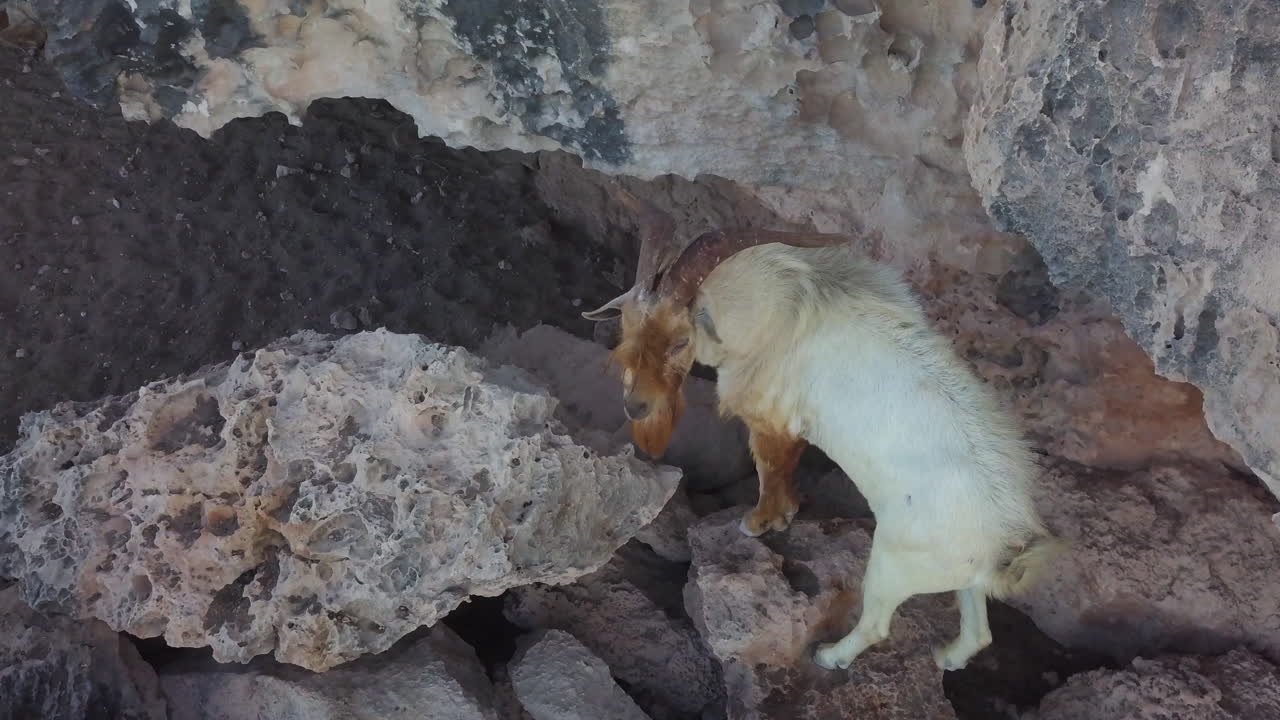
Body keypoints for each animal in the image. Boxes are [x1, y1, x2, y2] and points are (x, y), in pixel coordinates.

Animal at [582, 190, 1060, 672]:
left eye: (680, 341)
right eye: (626, 327)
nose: (635, 405)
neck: (776, 305)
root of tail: (1003, 542)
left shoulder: (770, 419)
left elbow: (769, 469)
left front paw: (758, 523)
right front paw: (788, 511)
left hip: (893, 564)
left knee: (877, 624)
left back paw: (830, 656)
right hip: (962, 577)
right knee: (978, 630)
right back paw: (946, 657)